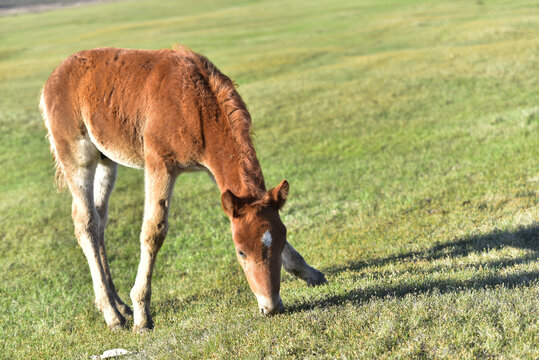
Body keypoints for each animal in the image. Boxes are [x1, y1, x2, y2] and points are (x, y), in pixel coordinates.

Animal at [40, 46, 326, 330]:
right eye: (241, 252)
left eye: (280, 242)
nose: (271, 306)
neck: (194, 105)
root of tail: (51, 80)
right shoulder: (160, 164)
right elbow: (154, 230)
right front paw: (142, 314)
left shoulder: (213, 170)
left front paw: (309, 273)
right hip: (77, 156)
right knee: (86, 223)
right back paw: (112, 314)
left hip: (106, 159)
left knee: (100, 220)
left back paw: (118, 304)